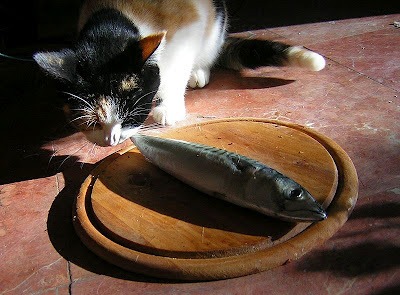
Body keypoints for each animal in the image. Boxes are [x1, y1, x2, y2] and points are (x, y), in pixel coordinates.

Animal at [32, 0, 324, 147]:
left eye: (130, 113)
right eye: (91, 121)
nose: (111, 140)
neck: (117, 17)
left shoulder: (188, 29)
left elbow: (175, 72)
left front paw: (169, 107)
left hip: (215, 26)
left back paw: (199, 73)